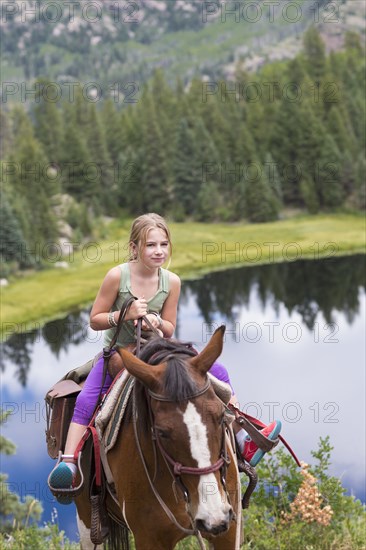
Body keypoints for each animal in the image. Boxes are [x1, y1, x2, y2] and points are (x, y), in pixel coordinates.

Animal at [74, 328, 242, 550]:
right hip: (87, 521)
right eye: (161, 432)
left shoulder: (228, 530)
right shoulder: (149, 538)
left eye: (222, 416)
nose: (211, 516)